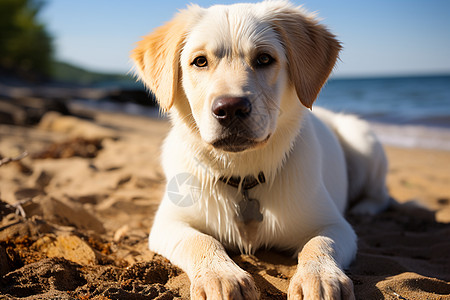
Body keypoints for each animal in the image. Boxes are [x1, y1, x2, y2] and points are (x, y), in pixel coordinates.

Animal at [131, 1, 390, 298]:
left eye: (264, 59)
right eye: (200, 61)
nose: (230, 108)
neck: (243, 173)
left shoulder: (334, 224)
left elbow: (319, 244)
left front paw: (320, 278)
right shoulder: (168, 222)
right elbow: (200, 240)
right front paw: (220, 276)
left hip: (362, 138)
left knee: (380, 194)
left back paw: (366, 209)